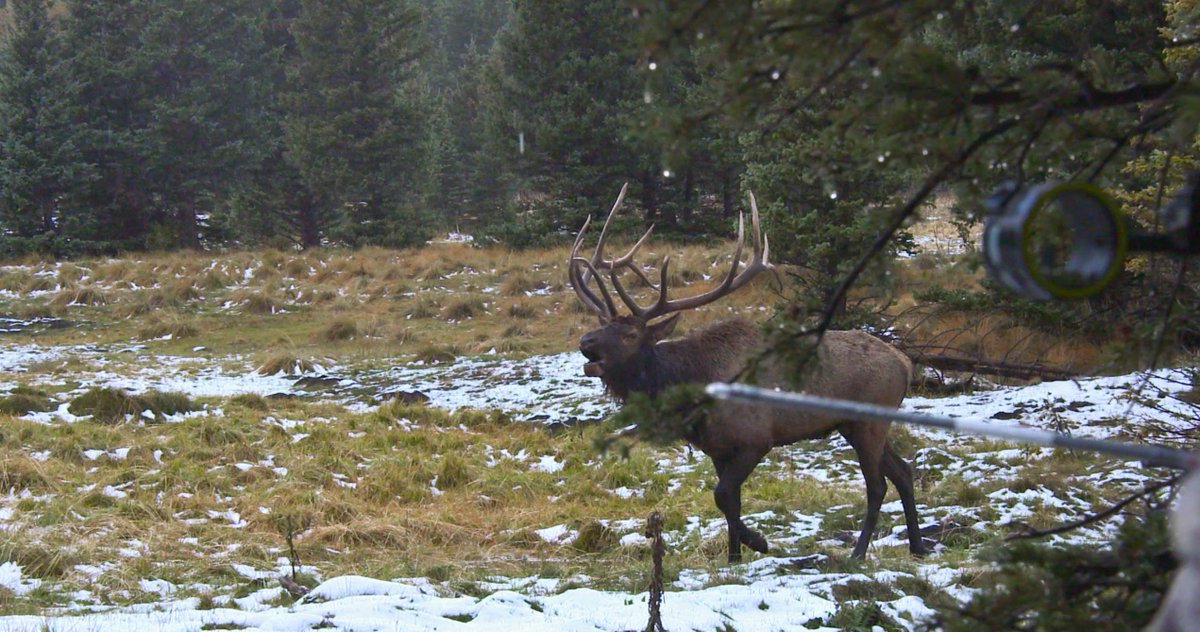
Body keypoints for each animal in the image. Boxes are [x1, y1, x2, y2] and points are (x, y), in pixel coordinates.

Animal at [567, 183, 927, 562]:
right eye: (602, 324)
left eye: (630, 334)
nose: (585, 342)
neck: (695, 391)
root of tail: (905, 363)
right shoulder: (717, 449)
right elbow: (731, 502)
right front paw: (733, 557)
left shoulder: (756, 438)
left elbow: (723, 495)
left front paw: (758, 542)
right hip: (856, 425)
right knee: (903, 471)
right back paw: (917, 546)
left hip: (868, 422)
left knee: (877, 485)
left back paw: (858, 553)